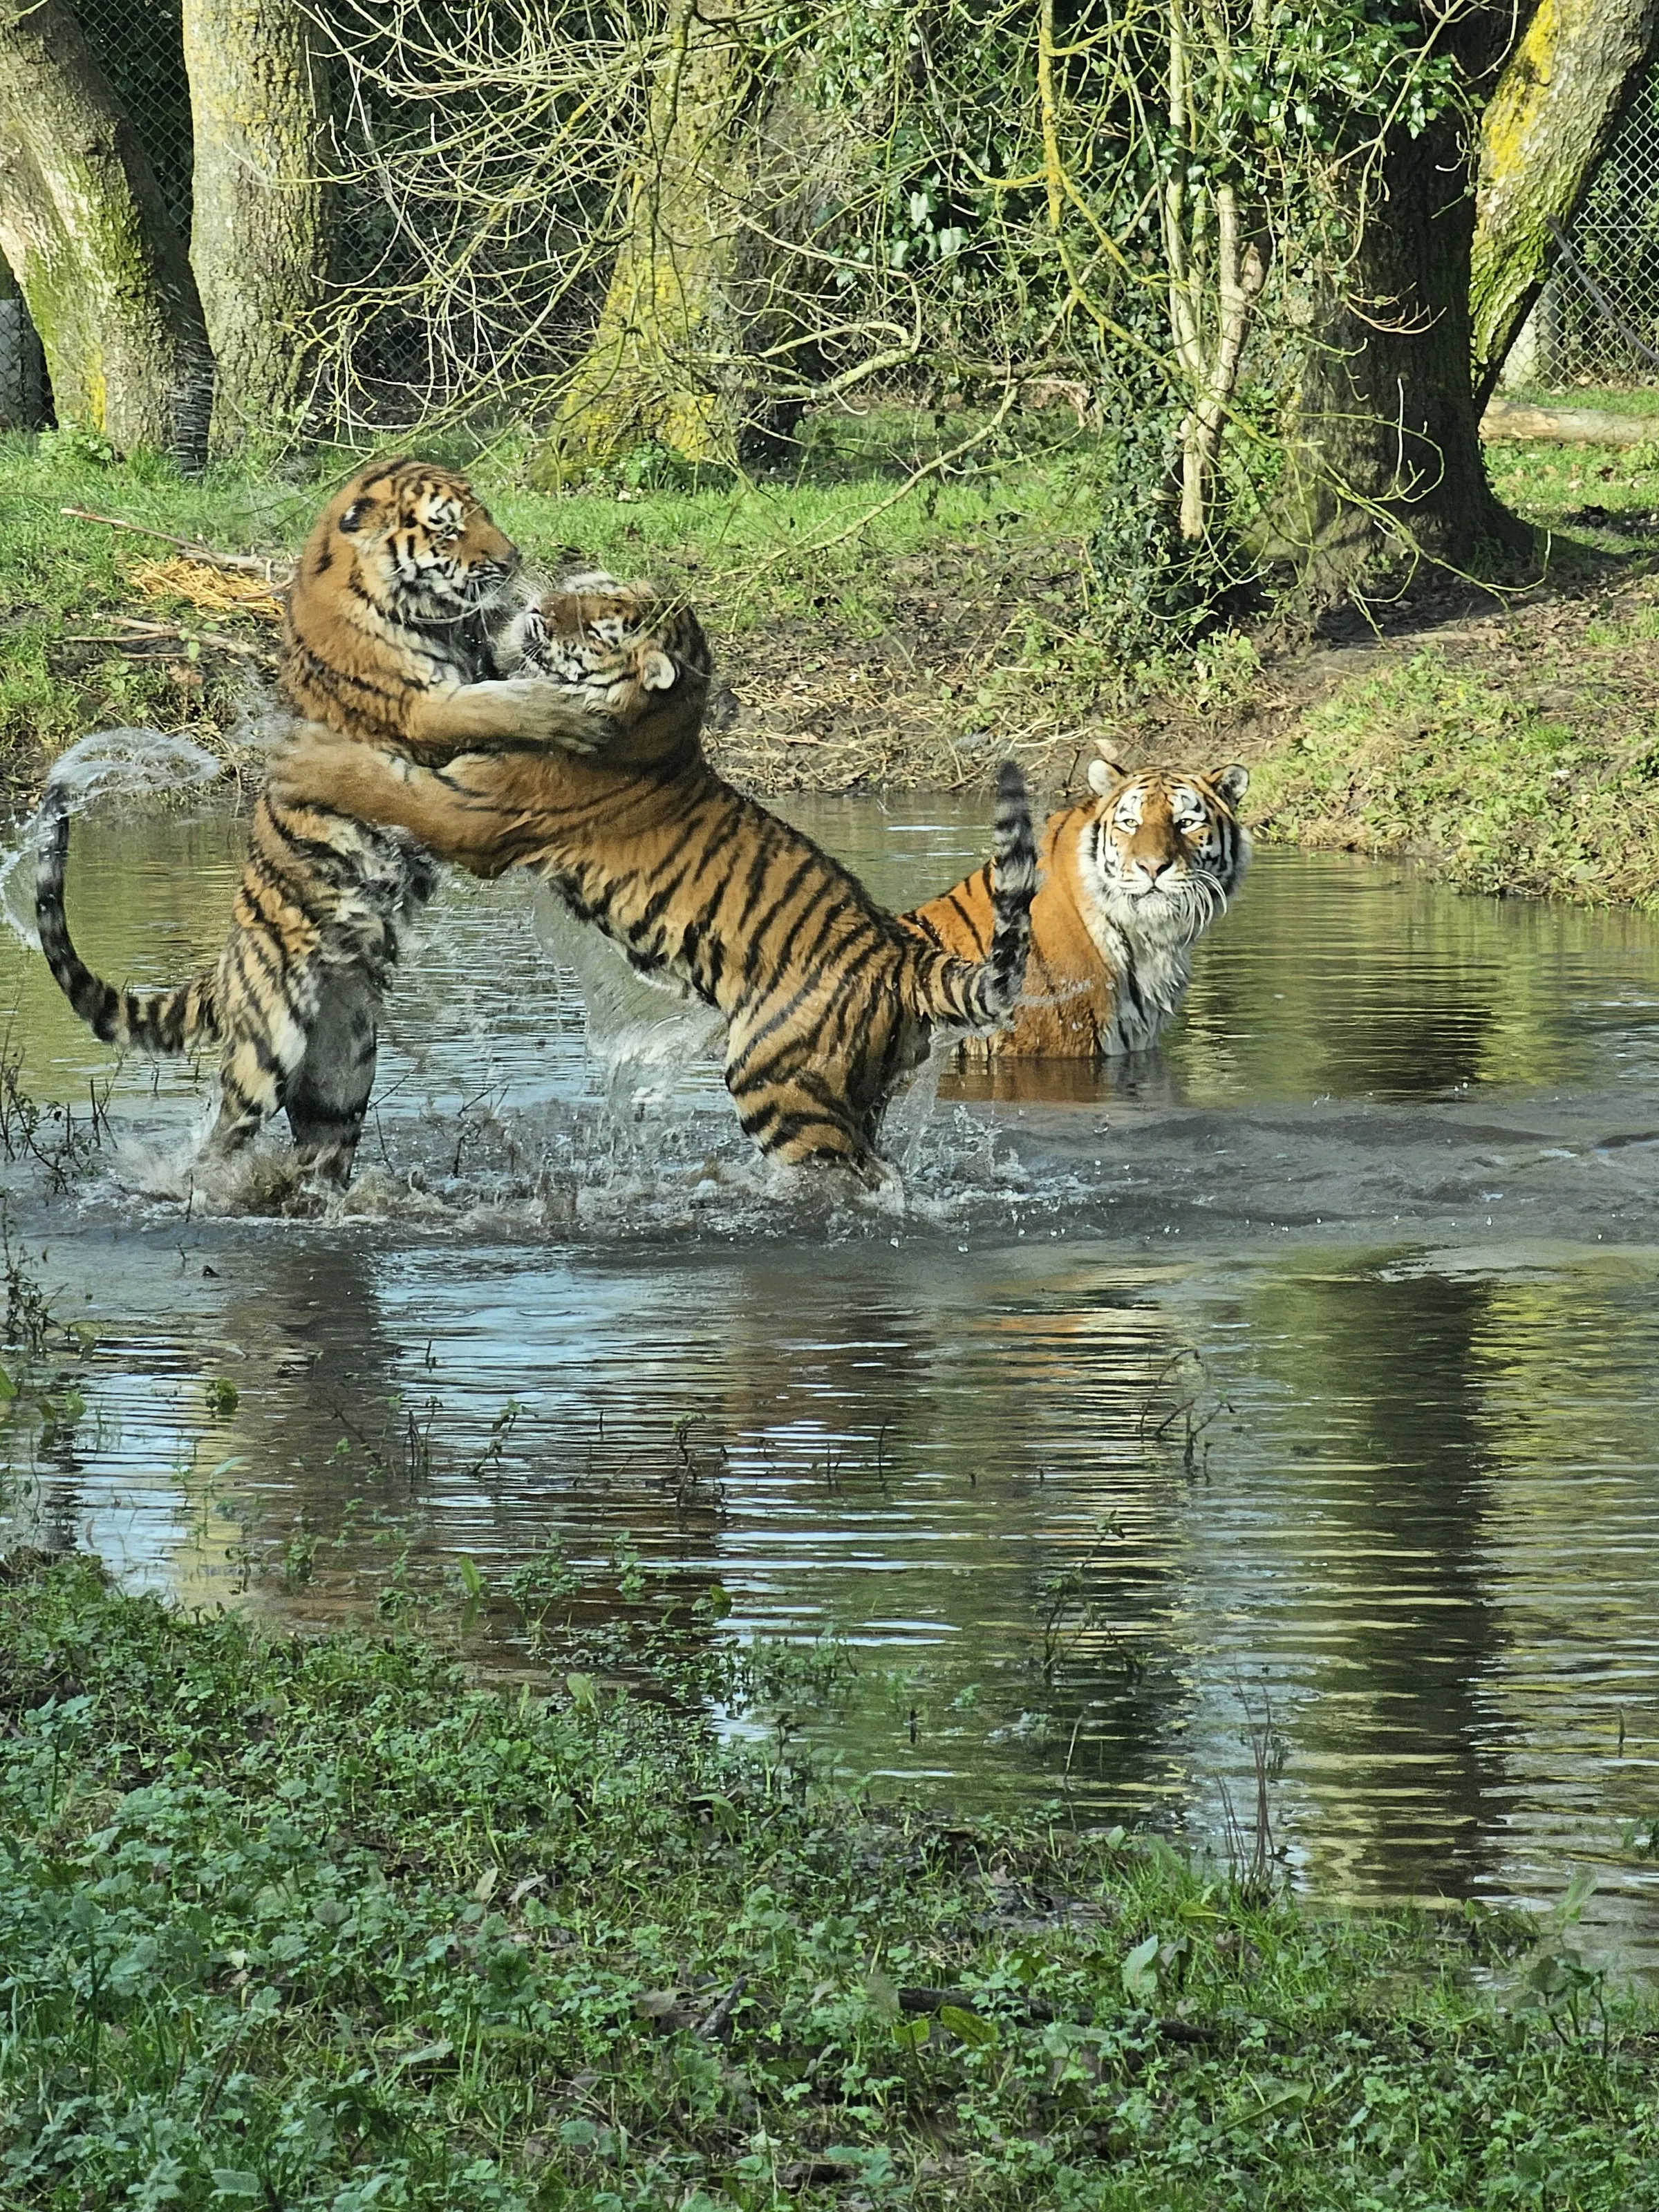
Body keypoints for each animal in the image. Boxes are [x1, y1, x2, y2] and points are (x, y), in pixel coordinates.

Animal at [35, 456, 596, 1184]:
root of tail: (225, 966)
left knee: (322, 1147)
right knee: (220, 1141)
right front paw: (569, 710)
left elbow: (506, 672)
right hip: (268, 1046)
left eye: (487, 515)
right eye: (448, 528)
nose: (512, 560)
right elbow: (502, 702)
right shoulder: (426, 710)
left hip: (344, 1067)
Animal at [265, 578, 1038, 1182]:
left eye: (599, 627)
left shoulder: (474, 812)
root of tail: (900, 953)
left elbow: (381, 782)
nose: (540, 607)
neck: (656, 720)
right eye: (592, 587)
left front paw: (300, 755)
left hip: (780, 1087)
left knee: (857, 1178)